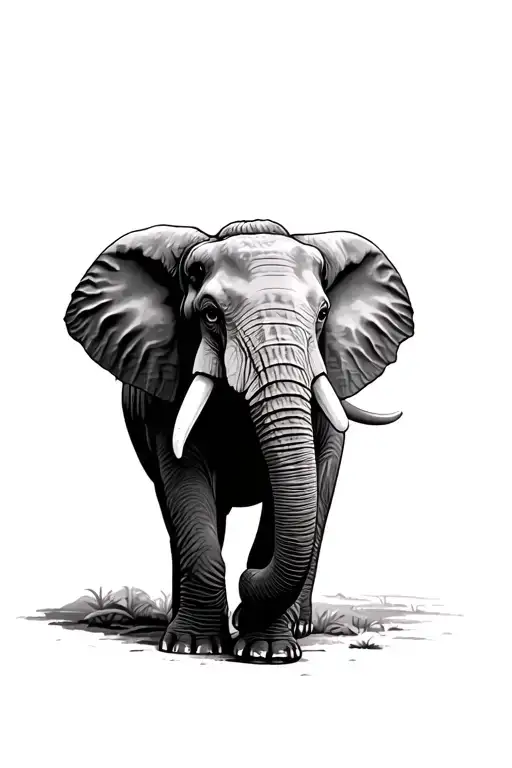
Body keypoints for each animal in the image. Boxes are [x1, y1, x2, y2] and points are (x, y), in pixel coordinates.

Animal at [64, 218, 414, 664]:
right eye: (210, 314)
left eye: (322, 314)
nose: (245, 600)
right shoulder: (166, 379)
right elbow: (187, 483)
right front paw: (191, 646)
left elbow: (300, 488)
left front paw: (269, 651)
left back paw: (299, 626)